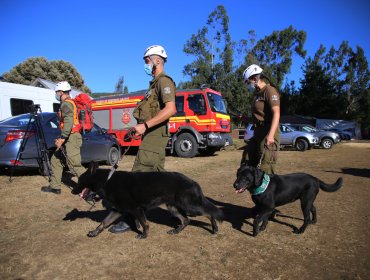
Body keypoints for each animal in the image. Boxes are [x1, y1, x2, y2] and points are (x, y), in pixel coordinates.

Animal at [76, 162, 223, 238]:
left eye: (79, 180)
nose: (73, 191)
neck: (107, 180)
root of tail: (192, 181)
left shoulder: (136, 209)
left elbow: (145, 223)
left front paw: (144, 235)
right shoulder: (117, 211)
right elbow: (103, 223)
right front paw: (95, 232)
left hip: (190, 206)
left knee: (209, 213)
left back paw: (215, 228)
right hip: (173, 207)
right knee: (186, 220)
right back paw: (176, 231)